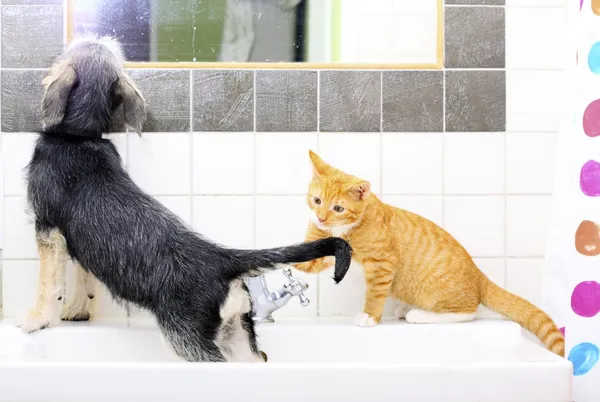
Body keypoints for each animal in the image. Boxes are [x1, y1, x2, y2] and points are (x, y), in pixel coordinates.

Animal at [18, 37, 352, 362]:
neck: (79, 135)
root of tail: (222, 260)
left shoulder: (46, 227)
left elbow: (49, 281)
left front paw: (37, 318)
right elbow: (84, 276)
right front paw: (77, 309)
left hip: (189, 341)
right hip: (239, 338)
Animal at [292, 152, 564, 358]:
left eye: (338, 208)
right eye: (317, 200)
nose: (321, 218)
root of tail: (478, 275)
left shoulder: (382, 264)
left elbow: (375, 294)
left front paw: (369, 315)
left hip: (439, 291)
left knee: (468, 312)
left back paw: (419, 314)